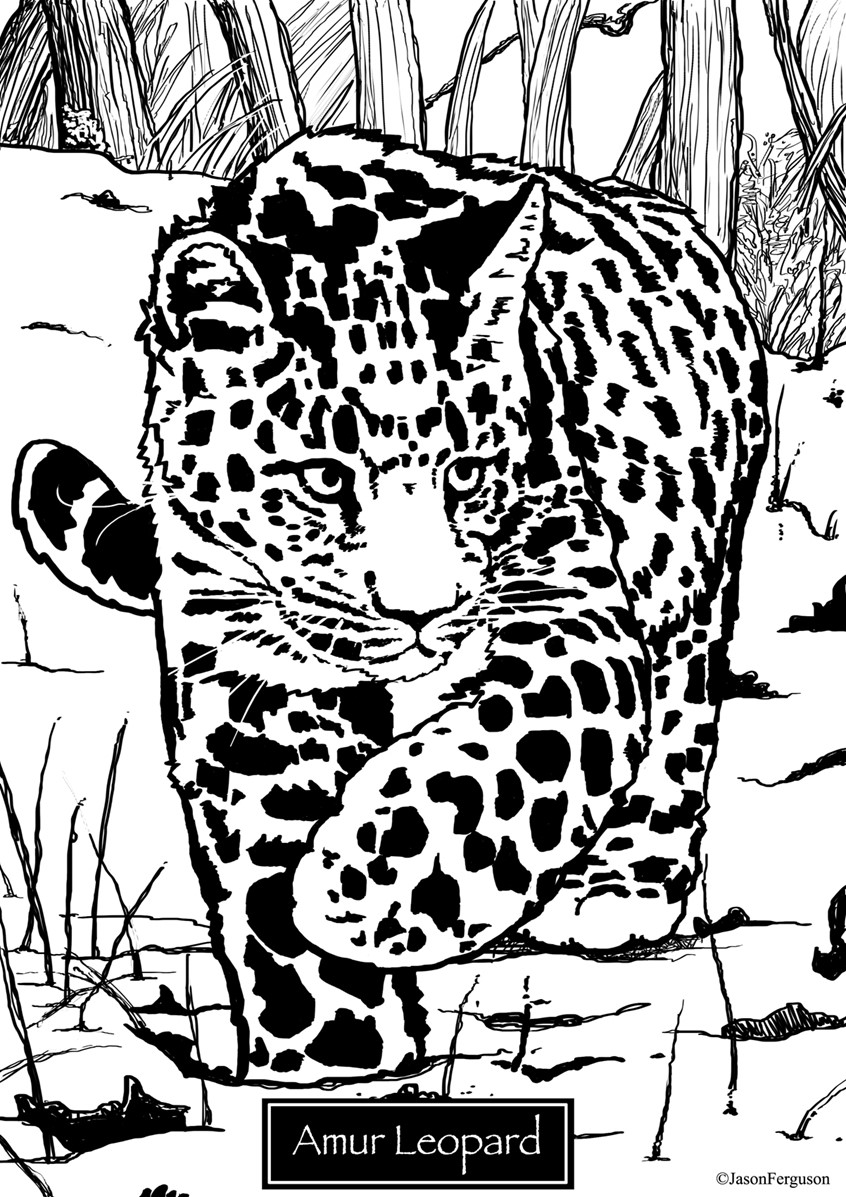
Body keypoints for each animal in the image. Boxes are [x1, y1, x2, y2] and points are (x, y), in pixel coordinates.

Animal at [14, 127, 768, 1085]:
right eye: (325, 479)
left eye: (468, 473)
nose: (422, 614)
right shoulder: (249, 671)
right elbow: (268, 850)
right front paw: (330, 1044)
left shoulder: (567, 608)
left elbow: (499, 758)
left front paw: (358, 885)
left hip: (690, 585)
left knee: (678, 725)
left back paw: (621, 885)